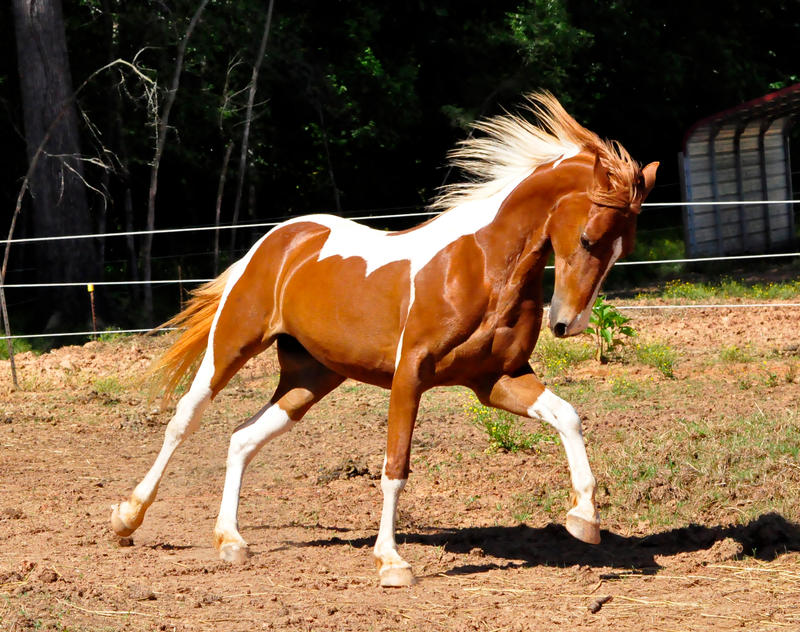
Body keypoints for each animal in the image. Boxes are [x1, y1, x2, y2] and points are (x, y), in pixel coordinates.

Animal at [111, 94, 656, 588]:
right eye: (587, 238)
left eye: (624, 248)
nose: (567, 324)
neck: (482, 268)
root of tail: (277, 239)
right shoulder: (410, 375)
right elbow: (395, 466)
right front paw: (391, 563)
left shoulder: (496, 379)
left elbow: (568, 416)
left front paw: (584, 519)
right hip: (232, 346)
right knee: (184, 420)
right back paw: (127, 518)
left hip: (309, 377)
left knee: (242, 437)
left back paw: (231, 541)